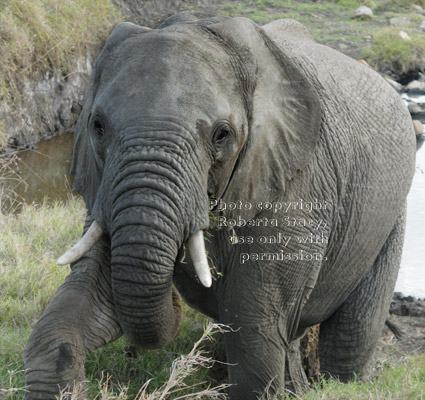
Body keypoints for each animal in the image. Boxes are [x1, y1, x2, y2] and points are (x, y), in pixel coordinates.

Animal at [23, 10, 414, 398]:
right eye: (98, 126)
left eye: (222, 135)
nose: (178, 292)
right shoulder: (105, 182)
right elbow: (87, 298)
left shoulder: (298, 185)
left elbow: (255, 333)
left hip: (391, 210)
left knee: (351, 334)